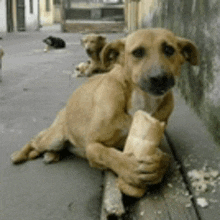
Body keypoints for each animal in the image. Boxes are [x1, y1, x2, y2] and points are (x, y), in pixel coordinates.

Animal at [11, 27, 199, 198]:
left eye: (169, 50)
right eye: (137, 52)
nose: (159, 78)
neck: (141, 101)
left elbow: (165, 157)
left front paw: (158, 167)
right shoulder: (92, 146)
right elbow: (108, 154)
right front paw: (130, 167)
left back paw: (52, 155)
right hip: (54, 137)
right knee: (35, 141)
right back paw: (20, 155)